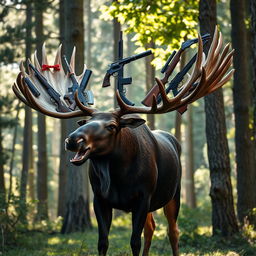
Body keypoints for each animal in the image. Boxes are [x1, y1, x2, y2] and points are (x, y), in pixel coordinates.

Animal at [14, 28, 234, 256]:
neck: (117, 178)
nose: (73, 139)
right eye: (87, 122)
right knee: (151, 227)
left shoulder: (143, 196)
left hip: (174, 193)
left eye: (112, 126)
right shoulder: (99, 199)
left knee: (173, 231)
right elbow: (103, 242)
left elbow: (134, 241)